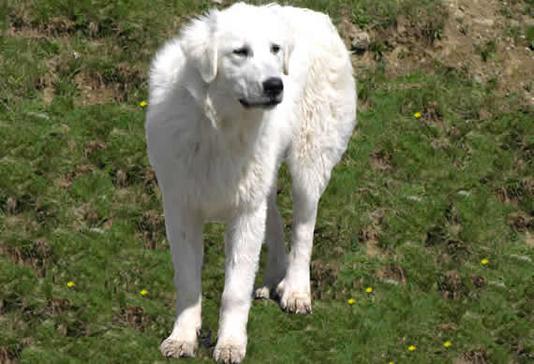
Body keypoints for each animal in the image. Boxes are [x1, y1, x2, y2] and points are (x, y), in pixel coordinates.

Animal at [144, 2, 358, 362]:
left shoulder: (244, 214)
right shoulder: (181, 209)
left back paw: (296, 290)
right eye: (240, 52)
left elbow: (234, 291)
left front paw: (230, 344)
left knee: (304, 229)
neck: (218, 126)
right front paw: (182, 338)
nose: (275, 85)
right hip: (263, 181)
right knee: (276, 220)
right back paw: (273, 279)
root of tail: (315, 15)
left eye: (274, 50)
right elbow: (187, 282)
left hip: (308, 164)